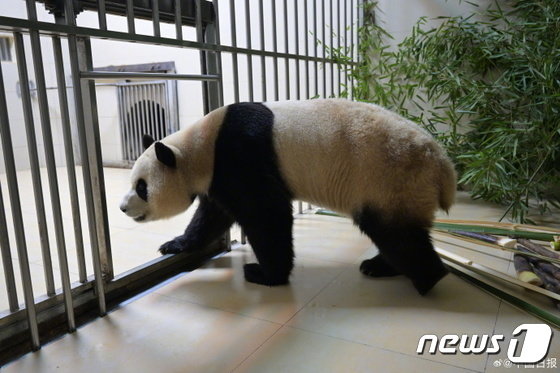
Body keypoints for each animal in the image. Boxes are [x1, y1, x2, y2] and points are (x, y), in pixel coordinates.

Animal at [120, 98, 458, 294]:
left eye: (141, 186)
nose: (123, 207)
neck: (200, 147)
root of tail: (442, 164)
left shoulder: (241, 154)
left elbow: (266, 214)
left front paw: (265, 274)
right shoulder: (218, 177)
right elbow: (212, 216)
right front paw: (174, 244)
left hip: (388, 178)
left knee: (395, 233)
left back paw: (425, 278)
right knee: (402, 234)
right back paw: (383, 267)